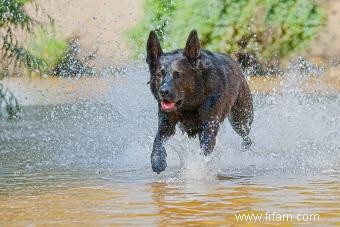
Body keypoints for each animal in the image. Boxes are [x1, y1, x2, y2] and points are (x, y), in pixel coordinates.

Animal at [146, 29, 252, 173]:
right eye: (158, 75)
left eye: (178, 74)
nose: (163, 91)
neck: (190, 104)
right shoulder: (166, 123)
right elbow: (158, 140)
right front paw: (157, 160)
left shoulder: (209, 124)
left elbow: (205, 148)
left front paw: (199, 166)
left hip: (240, 118)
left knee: (246, 135)